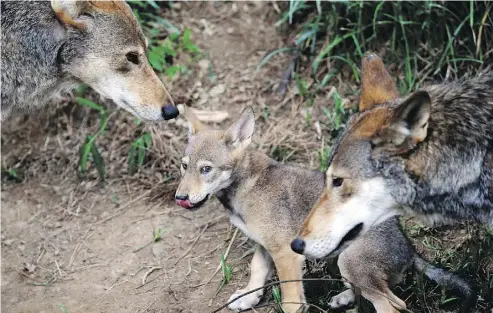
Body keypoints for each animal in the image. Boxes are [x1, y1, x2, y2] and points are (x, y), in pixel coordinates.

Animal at [173, 106, 472, 310]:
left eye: (206, 169)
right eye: (184, 166)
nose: (180, 196)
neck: (246, 185)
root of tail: (408, 249)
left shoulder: (285, 253)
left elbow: (291, 301)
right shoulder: (264, 245)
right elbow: (257, 272)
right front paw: (248, 298)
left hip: (349, 262)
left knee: (394, 305)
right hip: (344, 263)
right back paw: (343, 298)